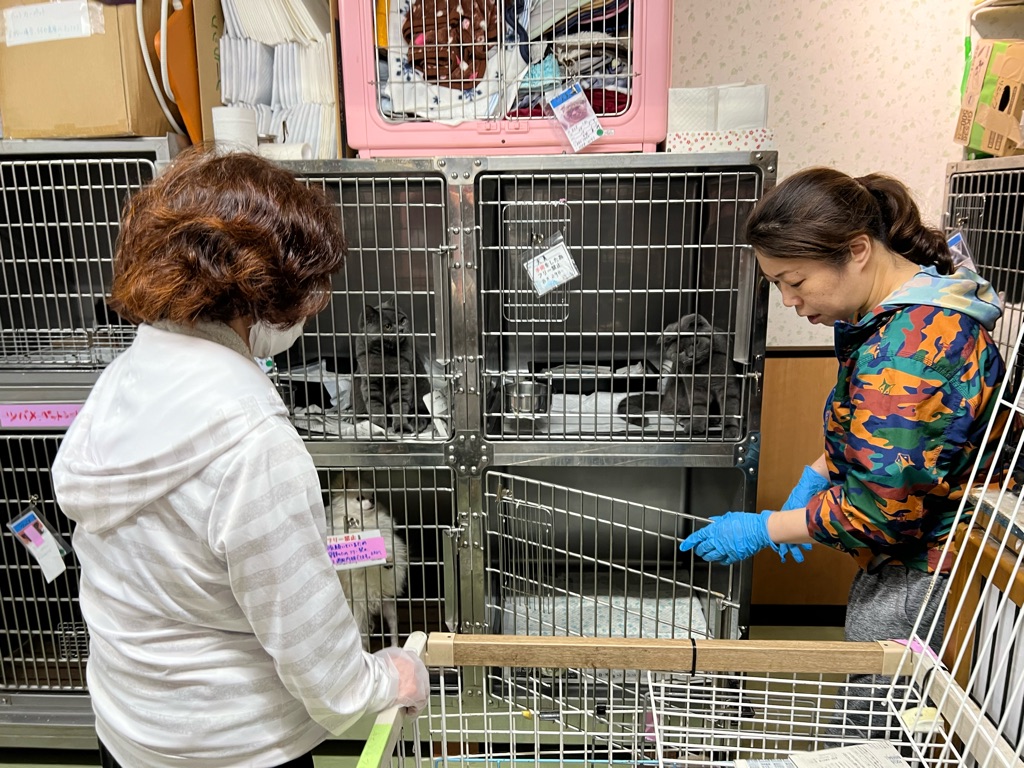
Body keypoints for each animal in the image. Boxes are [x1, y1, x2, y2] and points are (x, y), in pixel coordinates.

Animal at [330, 474, 409, 650]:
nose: (372, 501)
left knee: (393, 629)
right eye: (360, 498)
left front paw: (388, 560)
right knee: (363, 636)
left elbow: (389, 549)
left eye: (373, 495)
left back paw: (394, 646)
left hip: (388, 606)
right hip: (359, 612)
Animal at [350, 301, 434, 434]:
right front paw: (377, 427)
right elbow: (375, 406)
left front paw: (401, 427)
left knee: (422, 412)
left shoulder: (403, 380)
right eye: (387, 326)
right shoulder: (370, 383)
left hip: (423, 388)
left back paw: (416, 423)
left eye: (403, 320)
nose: (401, 329)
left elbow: (400, 405)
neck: (385, 354)